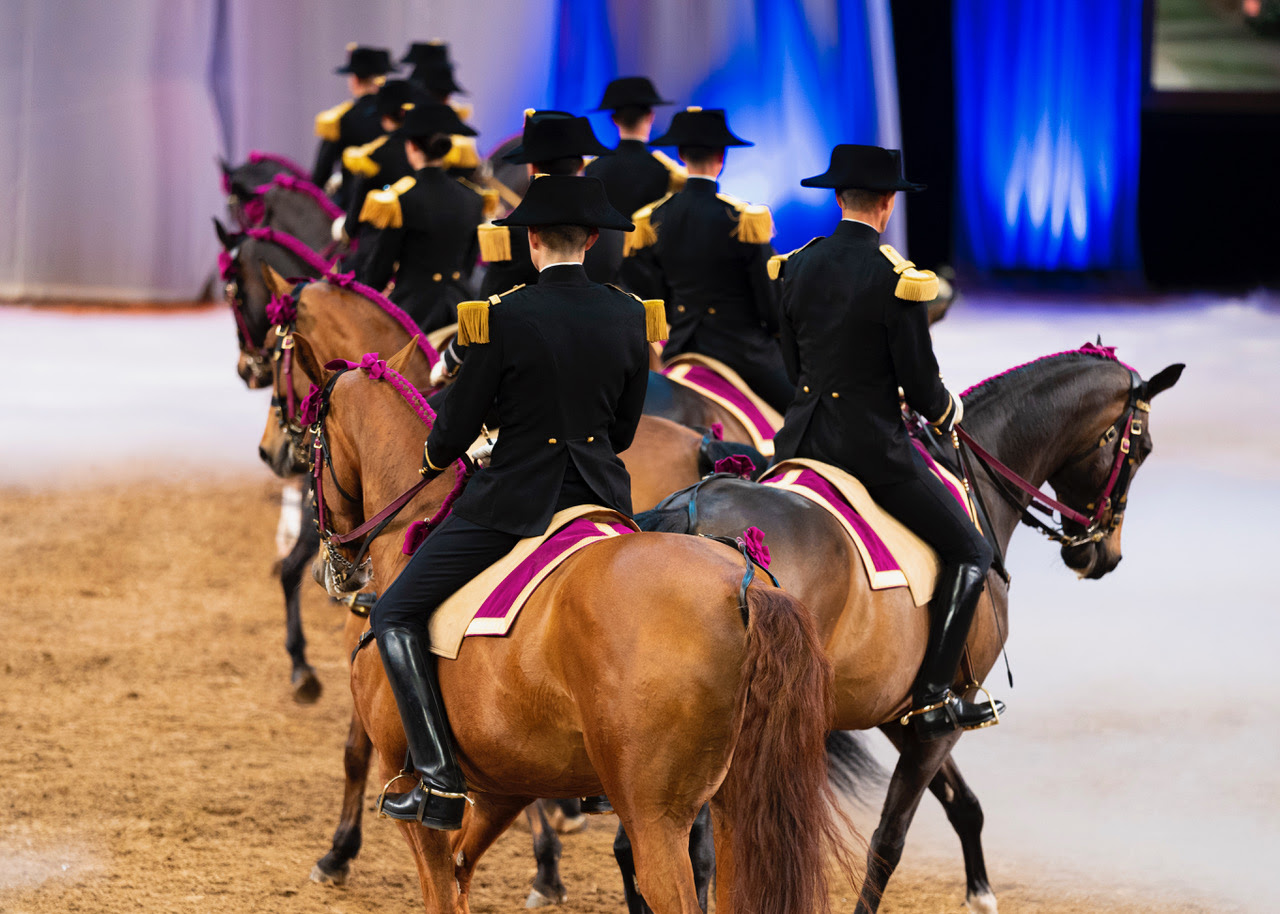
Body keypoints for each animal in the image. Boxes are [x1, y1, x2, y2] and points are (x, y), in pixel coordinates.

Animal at [300, 348, 860, 911]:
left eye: (308, 446)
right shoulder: (506, 784)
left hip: (656, 820)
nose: (333, 568)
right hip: (734, 812)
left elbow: (441, 889)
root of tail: (742, 585)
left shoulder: (408, 791)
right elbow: (461, 874)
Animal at [634, 345, 1182, 906]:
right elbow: (889, 841)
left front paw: (981, 895)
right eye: (1143, 450)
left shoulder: (903, 713)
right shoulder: (944, 716)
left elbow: (963, 803)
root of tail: (692, 511)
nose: (1103, 555)